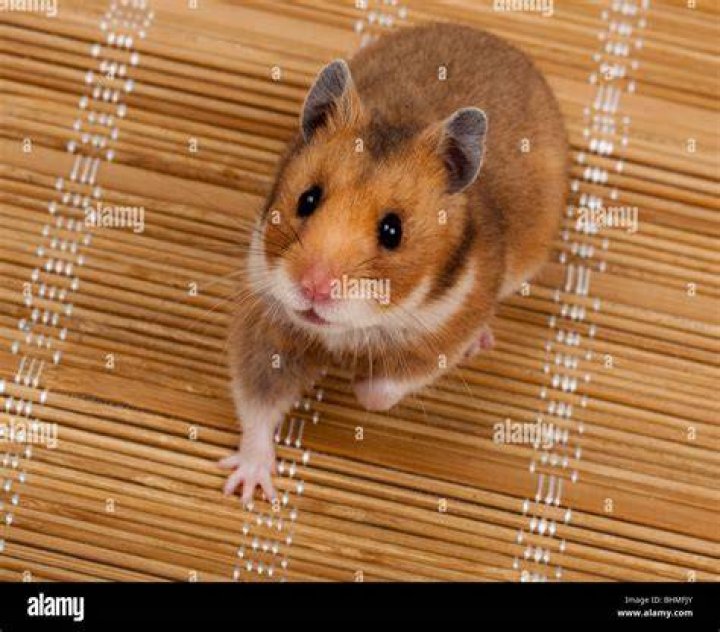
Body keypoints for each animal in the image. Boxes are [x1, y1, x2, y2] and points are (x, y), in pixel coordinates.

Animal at [220, 23, 568, 502]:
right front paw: (248, 486)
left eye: (392, 231)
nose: (313, 288)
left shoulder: (446, 326)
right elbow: (257, 403)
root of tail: (496, 40)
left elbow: (384, 388)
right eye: (308, 199)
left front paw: (352, 381)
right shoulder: (267, 319)